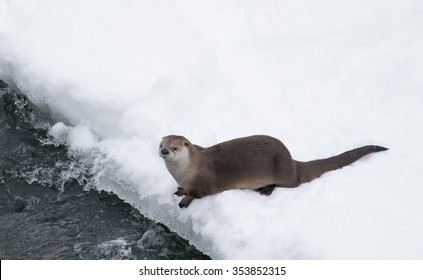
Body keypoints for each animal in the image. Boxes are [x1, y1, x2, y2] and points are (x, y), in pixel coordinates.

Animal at [161, 136, 390, 208]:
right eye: (162, 144)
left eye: (175, 148)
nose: (164, 150)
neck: (187, 171)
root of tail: (292, 162)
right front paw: (180, 190)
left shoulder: (204, 182)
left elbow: (198, 193)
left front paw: (185, 199)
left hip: (282, 171)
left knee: (292, 184)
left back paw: (266, 189)